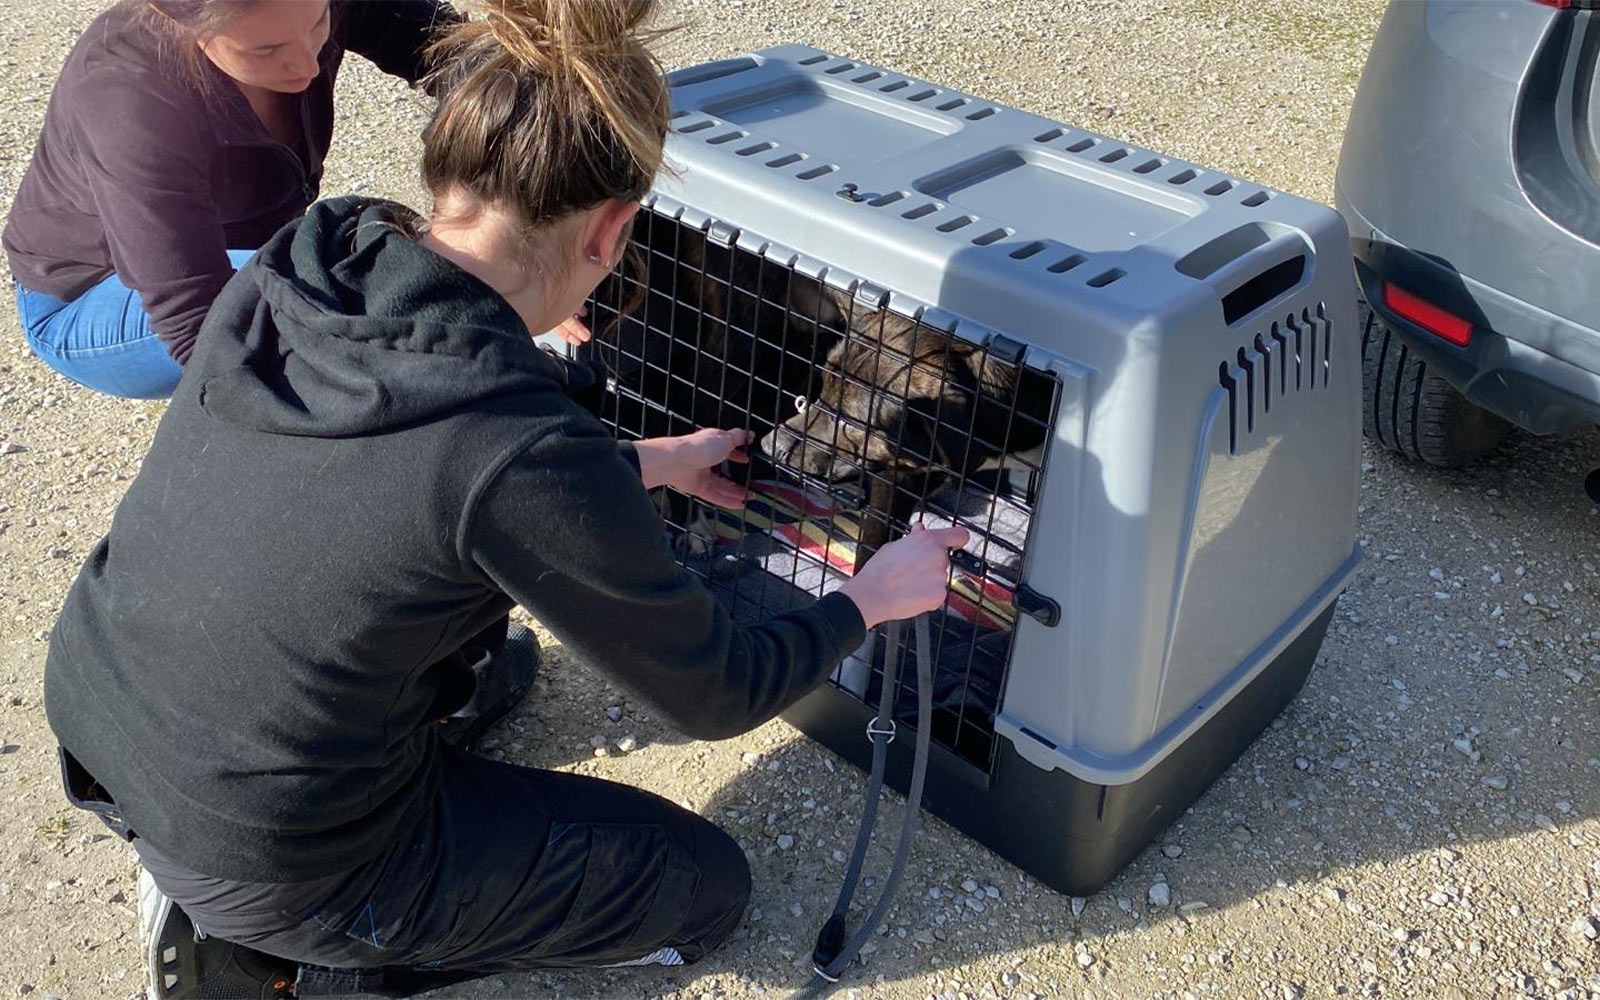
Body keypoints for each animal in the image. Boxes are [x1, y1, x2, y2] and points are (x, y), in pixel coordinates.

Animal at [582, 208, 1056, 764]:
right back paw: (695, 522)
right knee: (687, 418)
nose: (776, 445)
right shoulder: (891, 490)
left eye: (852, 419)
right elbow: (872, 596)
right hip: (744, 350)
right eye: (826, 384)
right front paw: (856, 696)